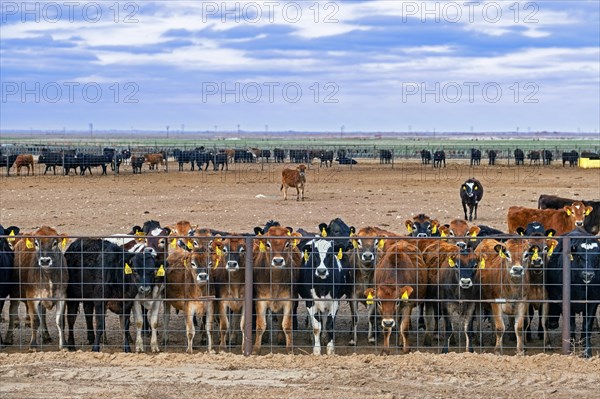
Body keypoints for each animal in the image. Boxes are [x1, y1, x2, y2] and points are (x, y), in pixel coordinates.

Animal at [548, 231, 600, 360]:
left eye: (597, 257)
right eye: (580, 256)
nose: (588, 274)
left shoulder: (593, 302)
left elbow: (587, 326)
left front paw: (587, 352)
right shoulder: (565, 302)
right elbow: (571, 325)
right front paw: (570, 348)